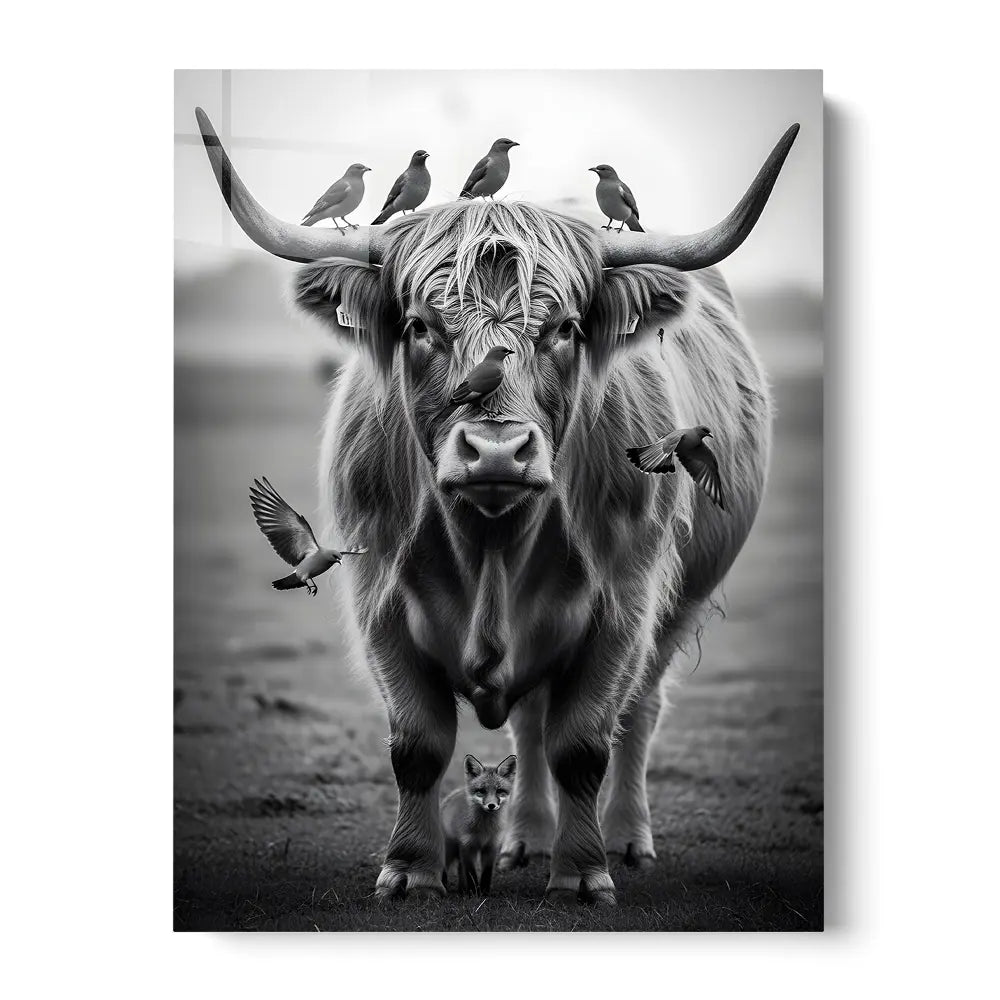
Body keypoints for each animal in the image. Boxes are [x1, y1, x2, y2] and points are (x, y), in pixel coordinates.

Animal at [441, 754, 517, 895]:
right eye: (481, 791)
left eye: (499, 791)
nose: (491, 805)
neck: (484, 830)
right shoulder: (467, 846)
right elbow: (471, 873)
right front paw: (474, 893)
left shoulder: (491, 847)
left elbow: (486, 873)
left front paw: (484, 893)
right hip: (449, 849)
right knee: (444, 868)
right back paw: (444, 888)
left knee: (460, 868)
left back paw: (462, 890)